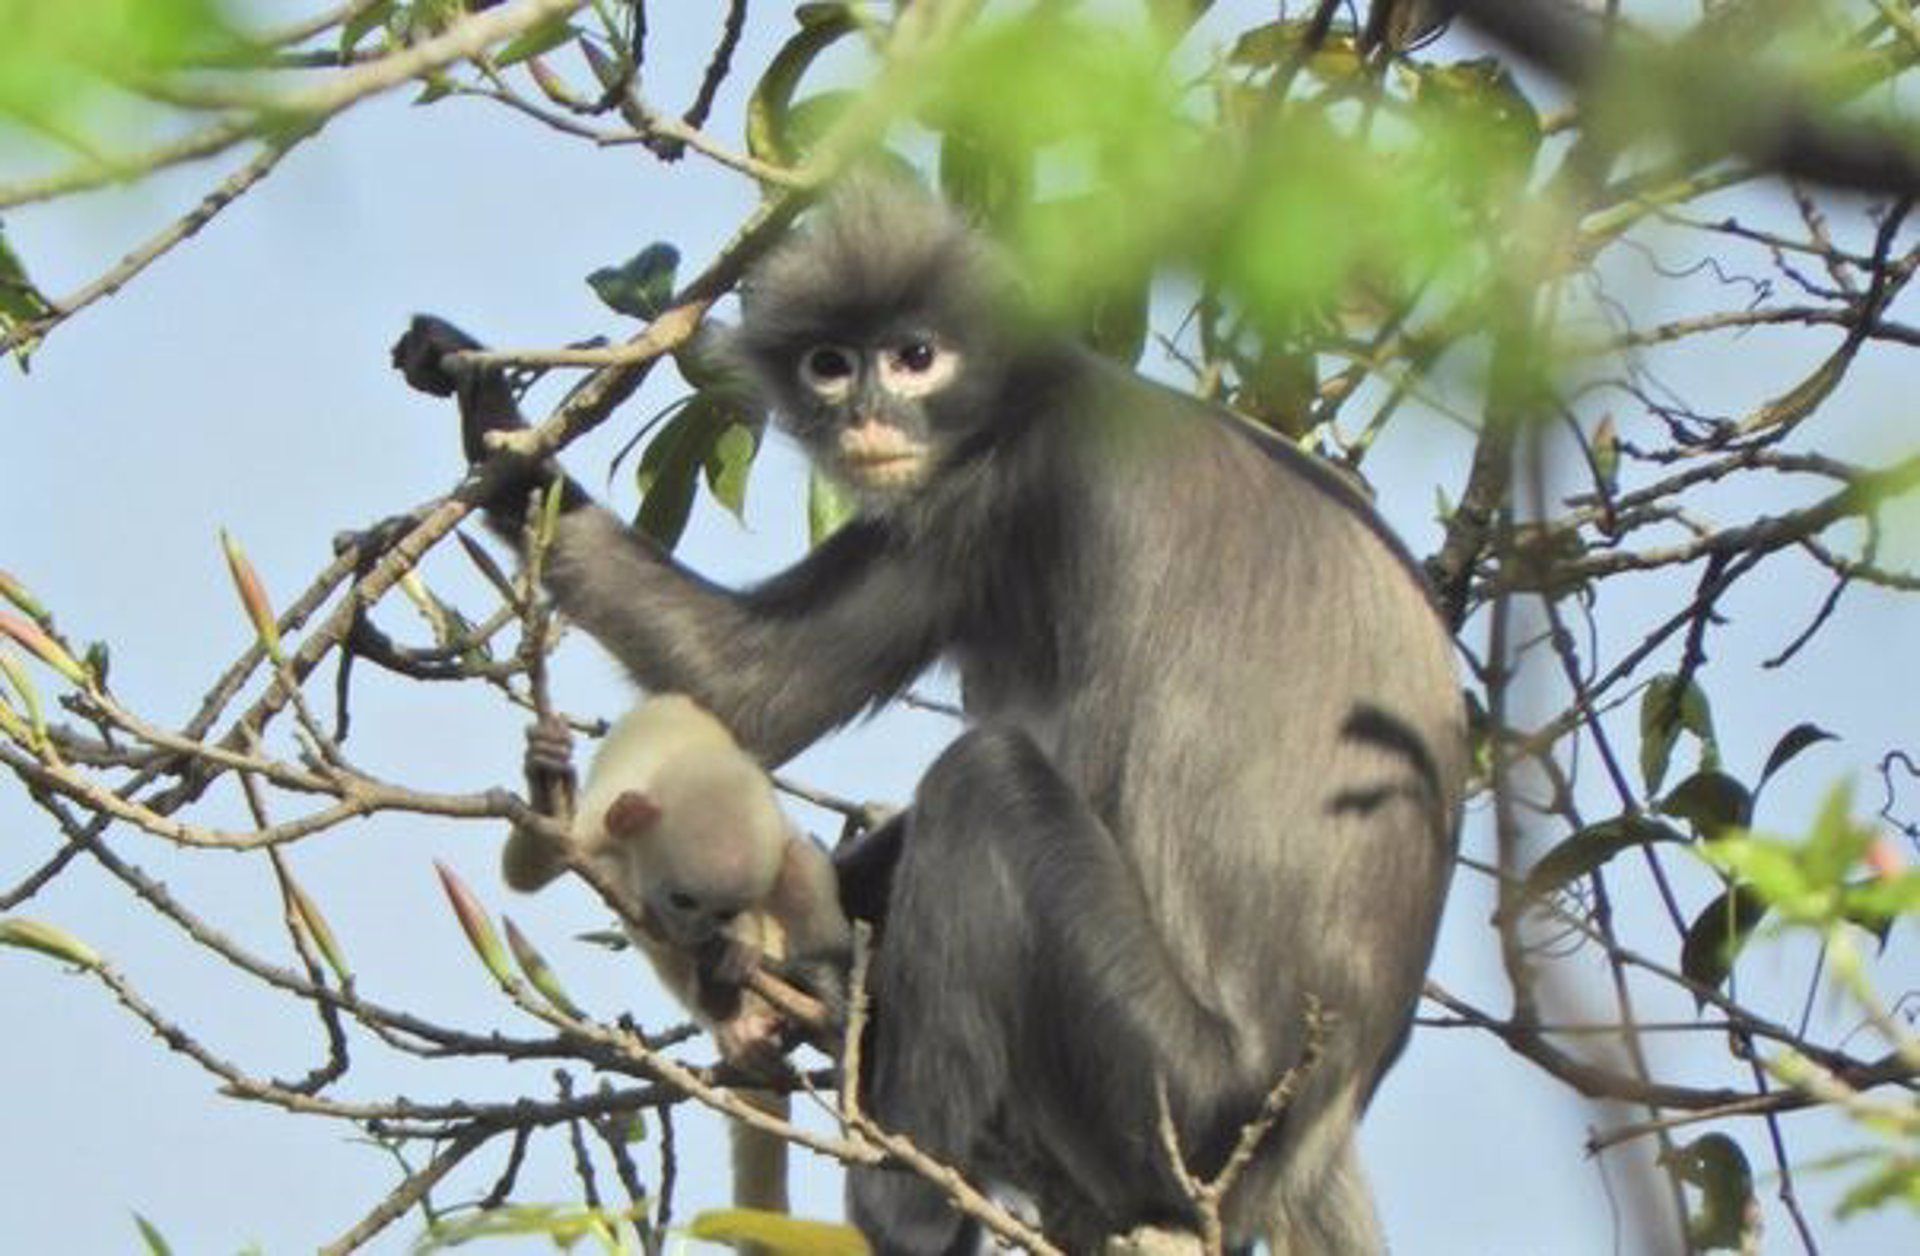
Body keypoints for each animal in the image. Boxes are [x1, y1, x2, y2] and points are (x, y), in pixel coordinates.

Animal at [499, 695, 852, 1229]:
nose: (702, 931)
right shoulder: (603, 823)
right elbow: (529, 869)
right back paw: (729, 1012)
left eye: (723, 909)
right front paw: (544, 775)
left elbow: (796, 862)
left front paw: (782, 963)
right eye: (683, 900)